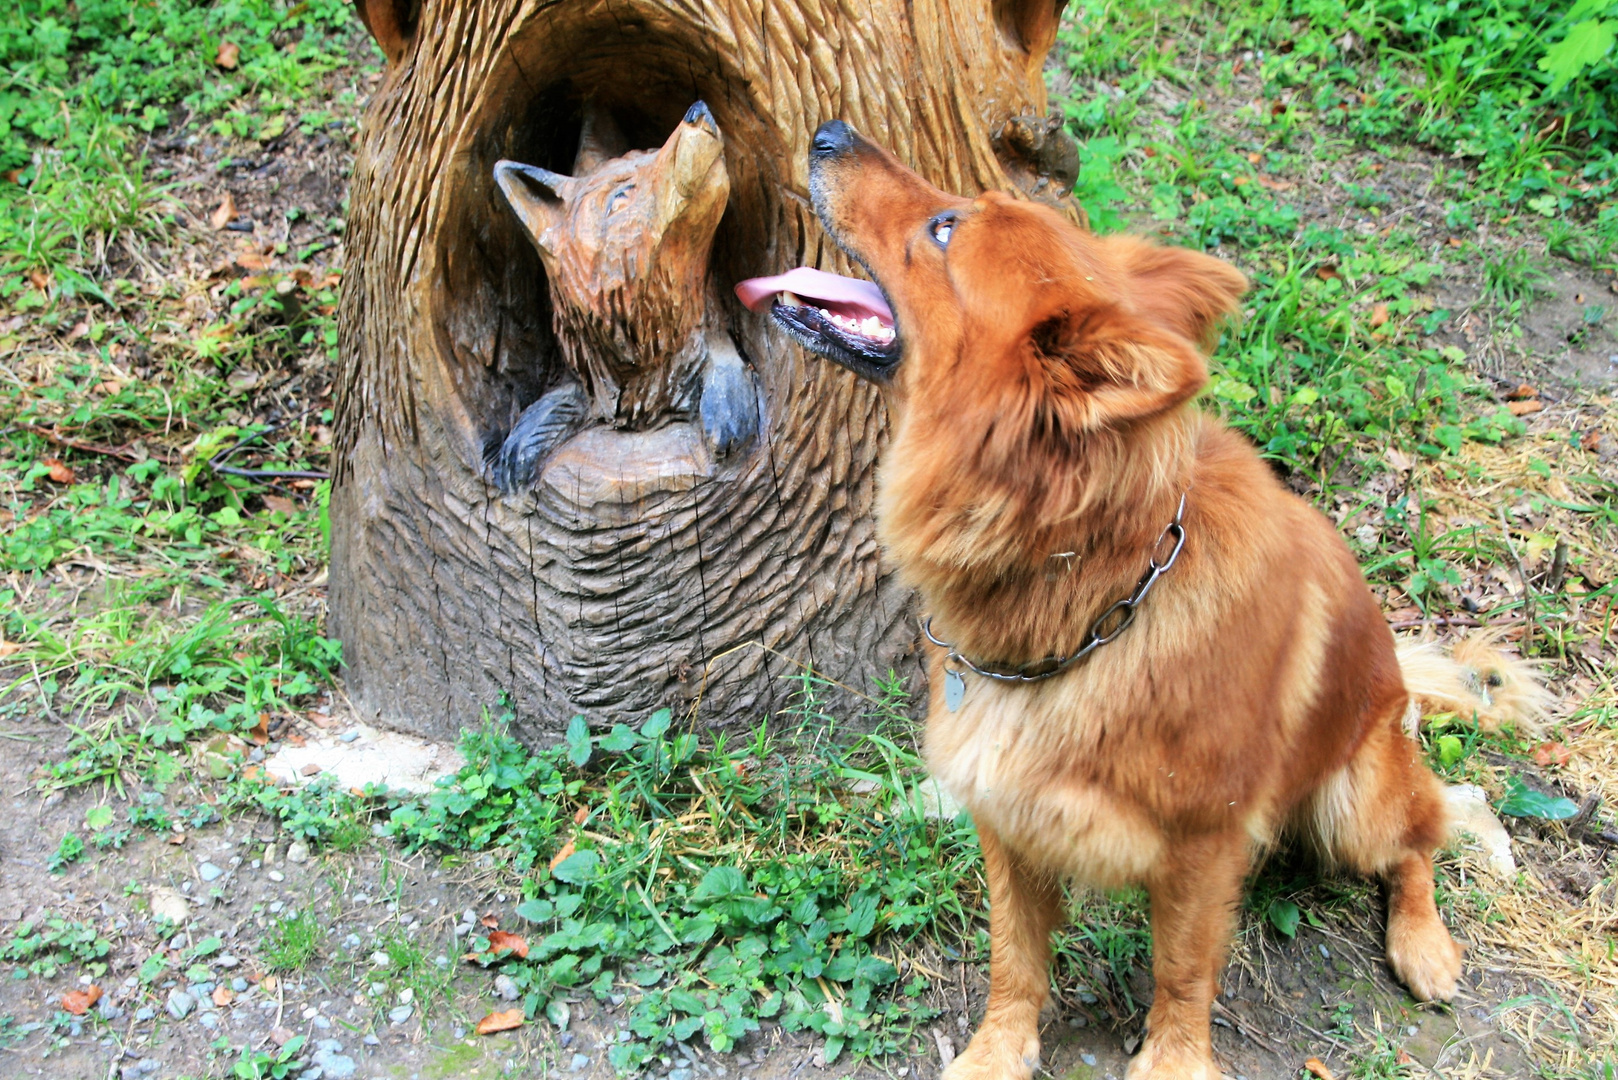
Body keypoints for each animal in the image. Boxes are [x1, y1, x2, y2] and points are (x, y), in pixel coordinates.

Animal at [741, 122, 1533, 1075]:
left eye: (945, 227)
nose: (827, 134)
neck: (1095, 588)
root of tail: (1396, 684)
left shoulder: (1202, 848)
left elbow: (1183, 971)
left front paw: (1173, 1058)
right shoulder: (1006, 813)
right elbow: (1015, 956)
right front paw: (999, 1048)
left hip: (1354, 801)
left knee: (1427, 832)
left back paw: (1423, 941)